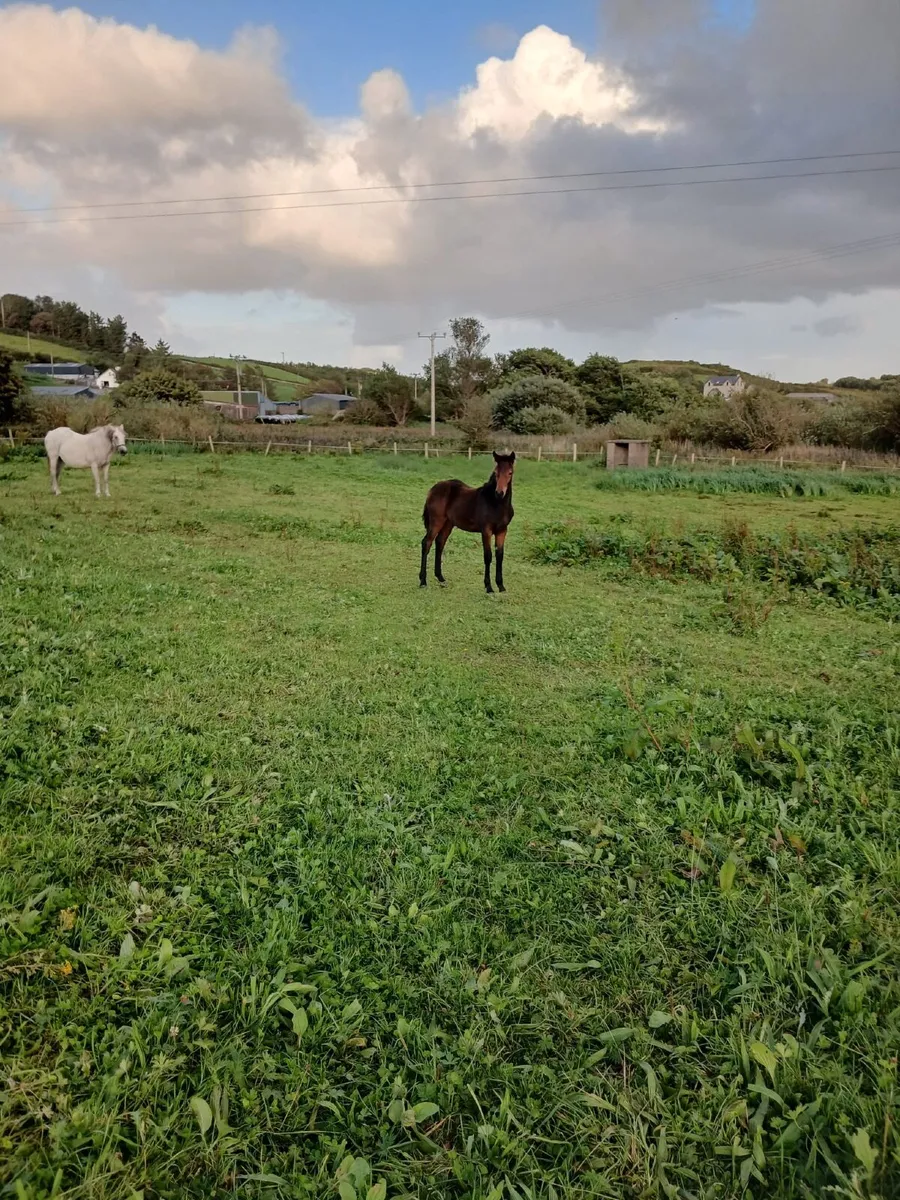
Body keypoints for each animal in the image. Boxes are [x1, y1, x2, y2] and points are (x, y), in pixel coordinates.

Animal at [420, 451, 516, 593]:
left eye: (510, 472)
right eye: (496, 472)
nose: (499, 493)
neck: (496, 504)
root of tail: (433, 489)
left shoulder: (502, 530)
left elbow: (500, 556)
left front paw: (501, 586)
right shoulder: (486, 530)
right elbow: (488, 556)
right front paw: (488, 587)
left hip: (448, 523)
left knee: (440, 542)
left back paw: (441, 578)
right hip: (436, 521)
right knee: (426, 543)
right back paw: (423, 581)